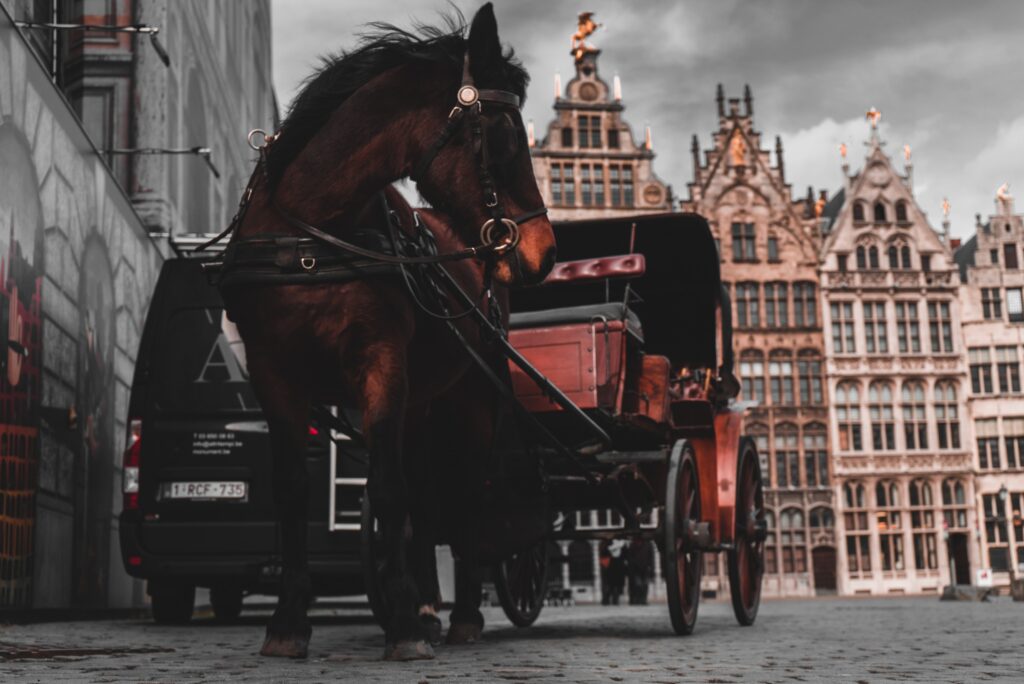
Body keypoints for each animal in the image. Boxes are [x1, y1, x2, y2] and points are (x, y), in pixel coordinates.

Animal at [221, 2, 557, 659]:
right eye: (504, 136)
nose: (545, 251)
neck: (311, 236)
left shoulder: (380, 363)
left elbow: (388, 488)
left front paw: (400, 624)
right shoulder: (275, 371)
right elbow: (294, 489)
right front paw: (289, 619)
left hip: (470, 396)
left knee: (465, 492)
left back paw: (462, 615)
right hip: (423, 406)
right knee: (427, 499)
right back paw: (428, 607)